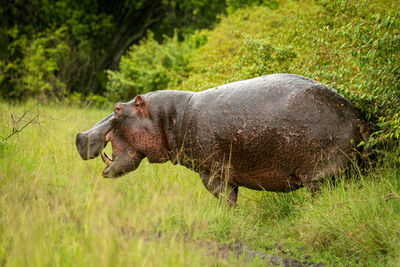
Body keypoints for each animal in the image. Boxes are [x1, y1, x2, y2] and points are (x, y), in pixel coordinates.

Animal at [75, 74, 368, 206]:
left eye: (117, 109)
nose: (79, 136)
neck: (169, 117)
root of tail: (356, 115)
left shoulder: (212, 172)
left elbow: (226, 199)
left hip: (319, 176)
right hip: (353, 170)